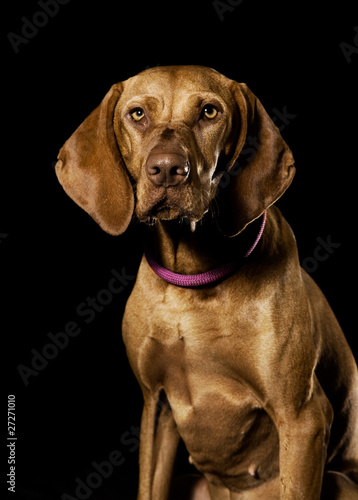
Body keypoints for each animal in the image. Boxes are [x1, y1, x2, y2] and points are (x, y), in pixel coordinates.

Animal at [56, 67, 358, 500]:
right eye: (137, 114)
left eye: (209, 112)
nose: (168, 169)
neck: (192, 282)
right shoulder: (156, 407)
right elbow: (149, 484)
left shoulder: (302, 417)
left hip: (339, 480)